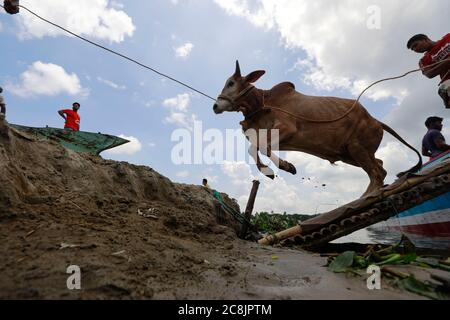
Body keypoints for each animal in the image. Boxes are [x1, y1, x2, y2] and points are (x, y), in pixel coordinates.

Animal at [214, 59, 422, 195]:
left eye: (231, 83)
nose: (215, 106)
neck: (263, 103)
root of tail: (377, 121)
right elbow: (255, 148)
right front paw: (274, 170)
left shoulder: (287, 128)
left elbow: (262, 148)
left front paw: (284, 166)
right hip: (350, 154)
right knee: (380, 166)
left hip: (357, 149)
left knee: (377, 174)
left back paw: (365, 197)